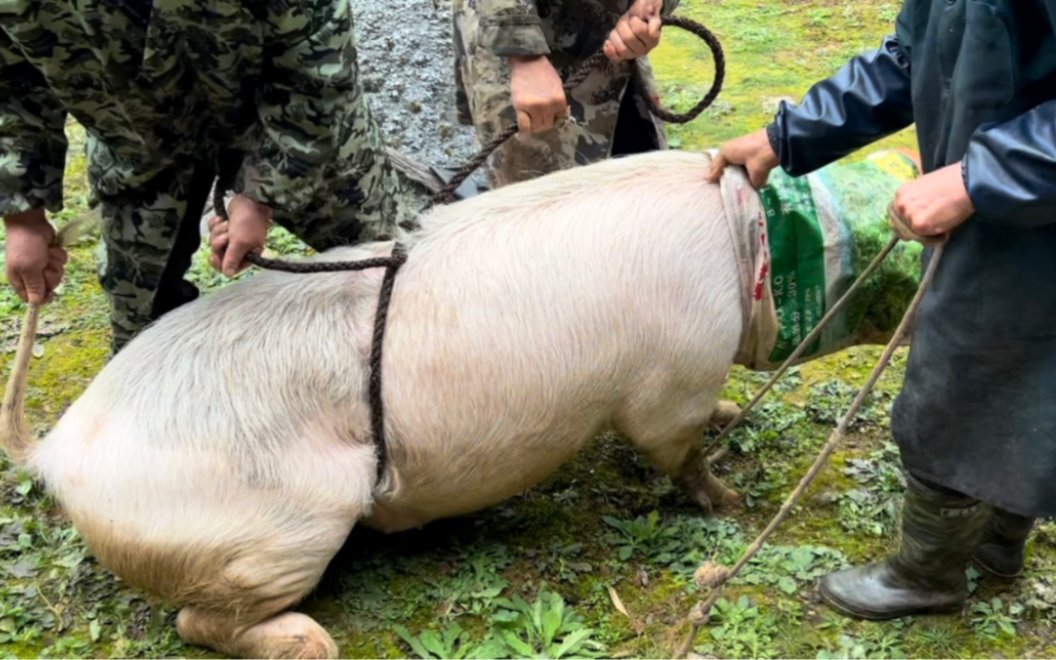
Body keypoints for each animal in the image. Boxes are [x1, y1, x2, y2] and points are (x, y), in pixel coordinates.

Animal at [4, 151, 756, 658]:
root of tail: (56, 450)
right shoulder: (675, 374)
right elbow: (676, 448)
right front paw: (733, 503)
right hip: (280, 526)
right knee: (197, 621)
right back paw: (313, 640)